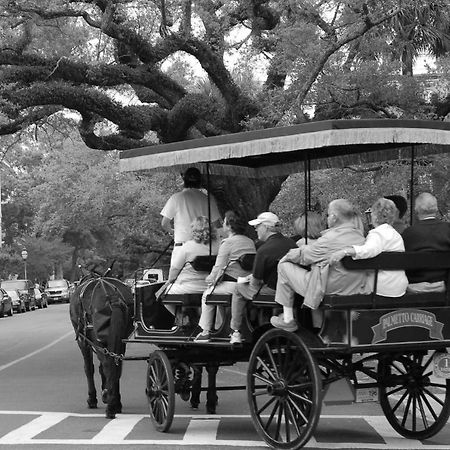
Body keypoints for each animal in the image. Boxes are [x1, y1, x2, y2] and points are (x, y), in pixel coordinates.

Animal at [69, 274, 134, 418]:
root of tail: (113, 297)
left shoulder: (83, 341)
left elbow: (89, 368)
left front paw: (93, 398)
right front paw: (107, 393)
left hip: (97, 340)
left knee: (108, 365)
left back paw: (110, 408)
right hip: (119, 340)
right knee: (116, 365)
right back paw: (116, 402)